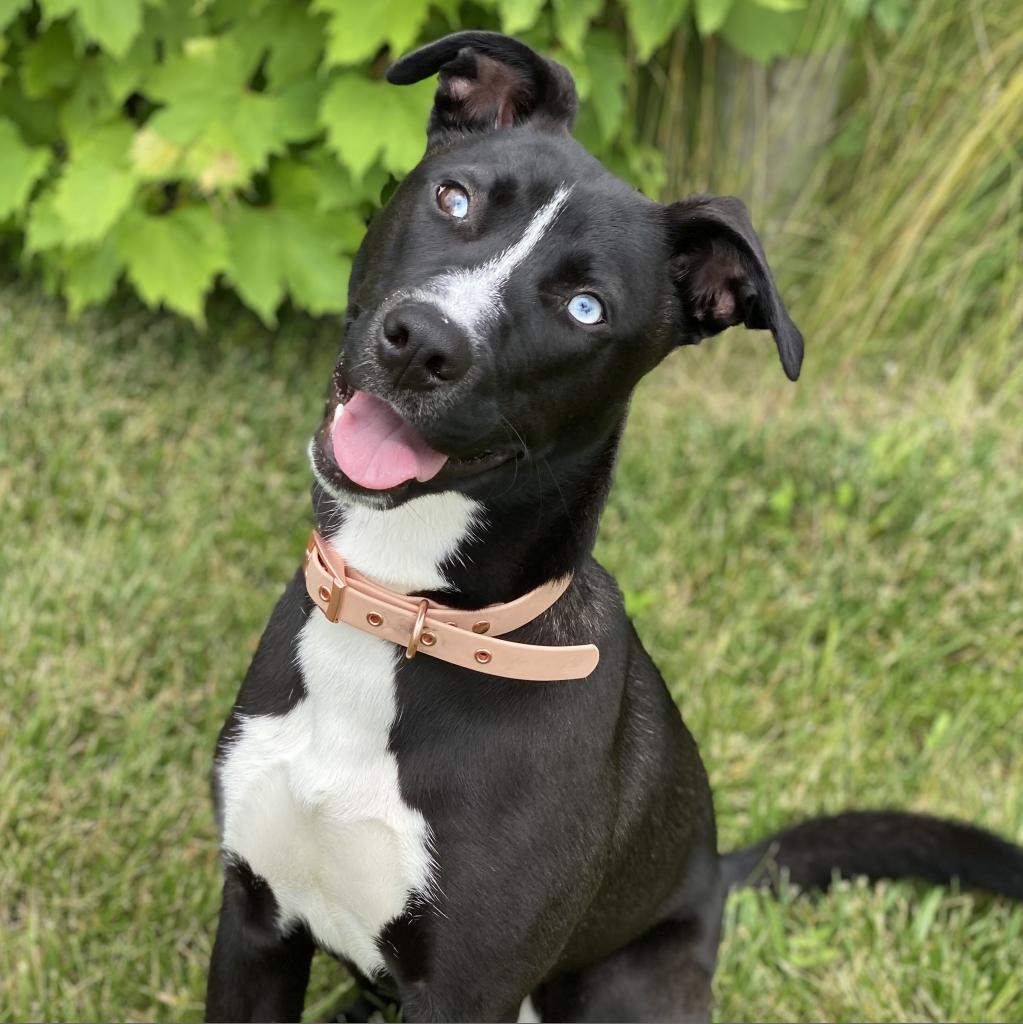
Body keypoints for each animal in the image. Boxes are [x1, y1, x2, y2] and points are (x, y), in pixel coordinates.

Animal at [205, 32, 1023, 1024]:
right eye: (454, 197)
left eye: (585, 308)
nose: (423, 340)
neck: (401, 612)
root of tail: (714, 880)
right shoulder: (254, 922)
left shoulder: (466, 986)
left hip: (625, 985)